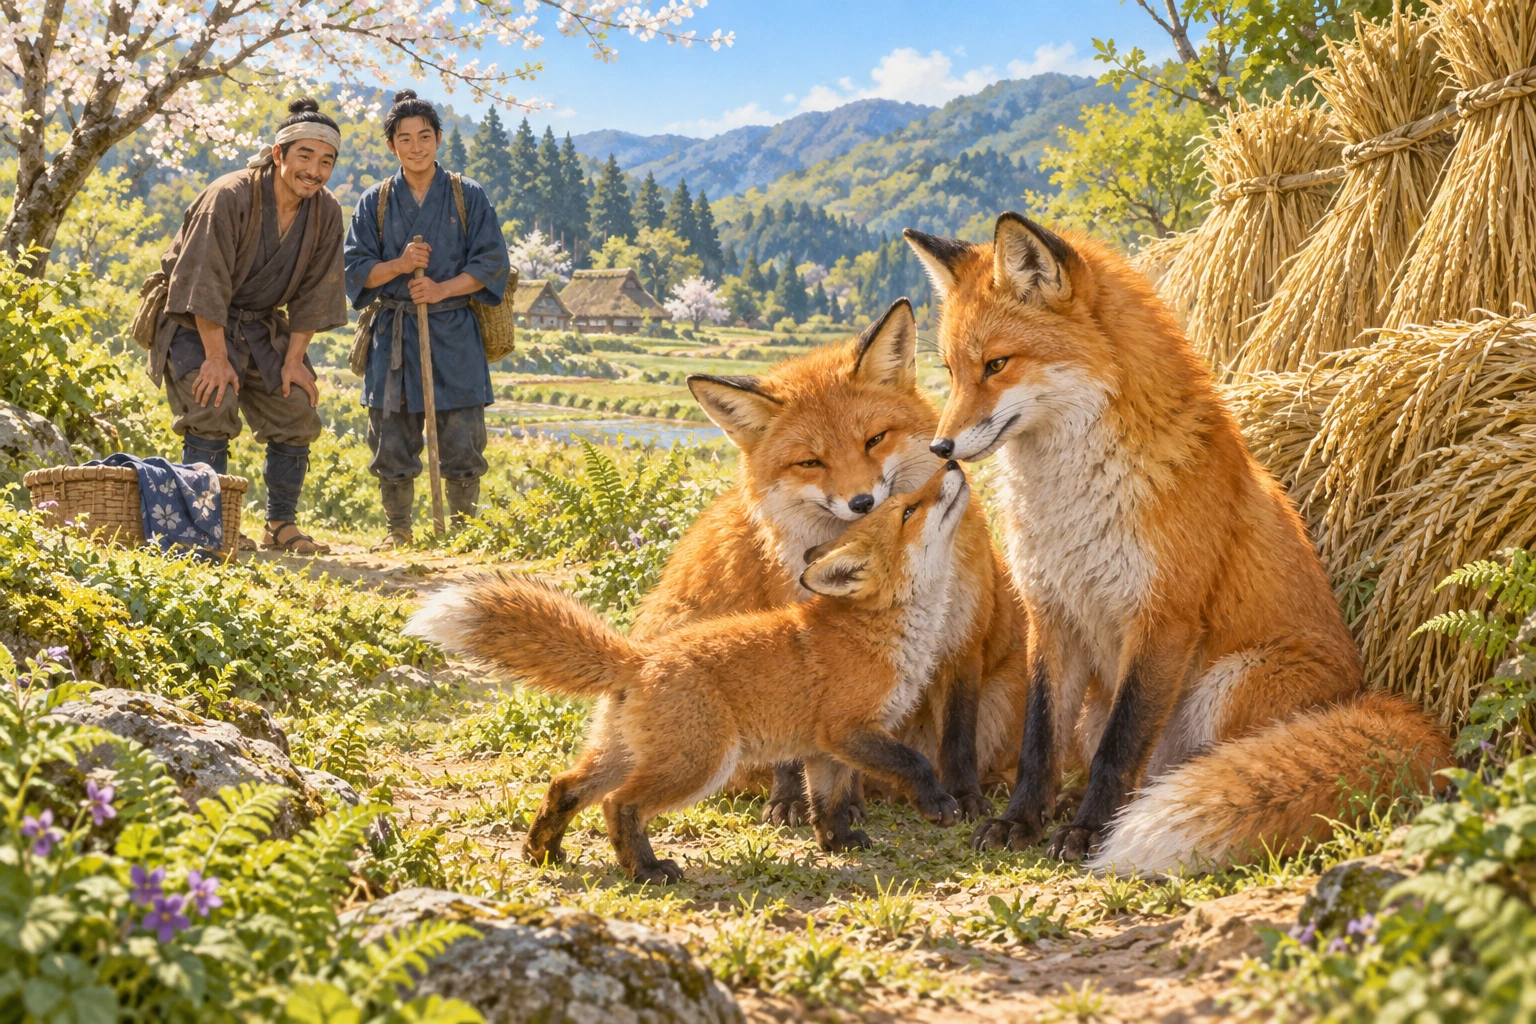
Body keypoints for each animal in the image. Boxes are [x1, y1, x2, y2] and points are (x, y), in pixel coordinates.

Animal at [406, 463, 973, 884]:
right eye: (909, 510)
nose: (952, 464)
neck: (883, 634)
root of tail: (637, 657)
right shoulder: (849, 730)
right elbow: (916, 763)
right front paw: (939, 805)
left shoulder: (824, 748)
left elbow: (828, 802)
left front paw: (838, 843)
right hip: (701, 764)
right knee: (620, 804)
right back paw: (647, 869)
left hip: (630, 753)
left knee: (565, 786)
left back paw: (543, 851)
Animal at [631, 299, 1032, 828]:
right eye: (810, 463)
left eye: (875, 439)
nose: (861, 502)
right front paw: (802, 802)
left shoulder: (962, 639)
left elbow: (958, 737)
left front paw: (964, 796)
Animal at [903, 213, 1451, 875]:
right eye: (951, 372)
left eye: (996, 364)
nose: (940, 449)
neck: (1073, 504)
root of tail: (1369, 698)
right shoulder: (1051, 614)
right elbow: (1038, 743)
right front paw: (1021, 821)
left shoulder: (1163, 616)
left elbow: (1119, 748)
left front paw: (1089, 834)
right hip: (1107, 705)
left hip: (1228, 687)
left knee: (1187, 768)